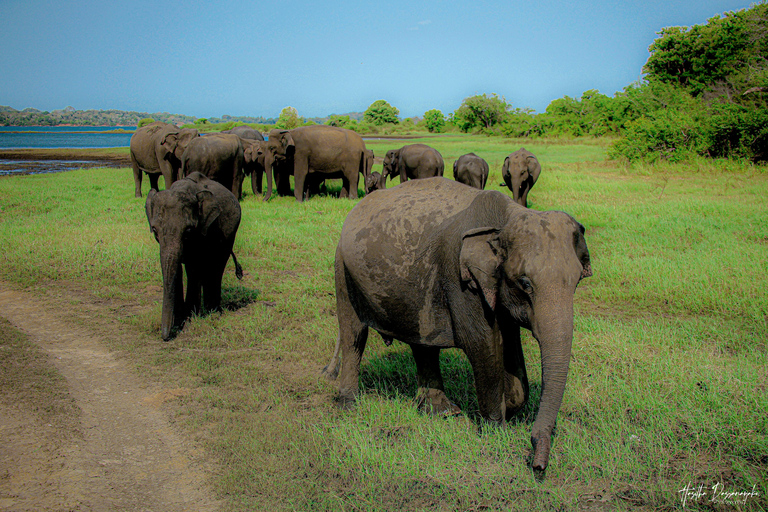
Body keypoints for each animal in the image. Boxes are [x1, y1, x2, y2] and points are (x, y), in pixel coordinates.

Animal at [145, 173, 243, 340]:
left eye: (188, 231)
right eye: (155, 230)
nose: (165, 337)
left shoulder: (203, 231)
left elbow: (193, 267)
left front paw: (189, 318)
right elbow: (175, 268)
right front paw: (179, 320)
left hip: (230, 234)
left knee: (216, 266)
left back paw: (213, 311)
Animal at [323, 177, 592, 471]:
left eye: (577, 280)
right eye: (525, 283)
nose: (537, 466)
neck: (506, 218)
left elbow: (509, 342)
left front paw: (511, 406)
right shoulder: (462, 281)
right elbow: (483, 345)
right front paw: (495, 431)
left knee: (423, 342)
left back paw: (442, 412)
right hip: (343, 269)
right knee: (354, 335)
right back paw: (349, 405)